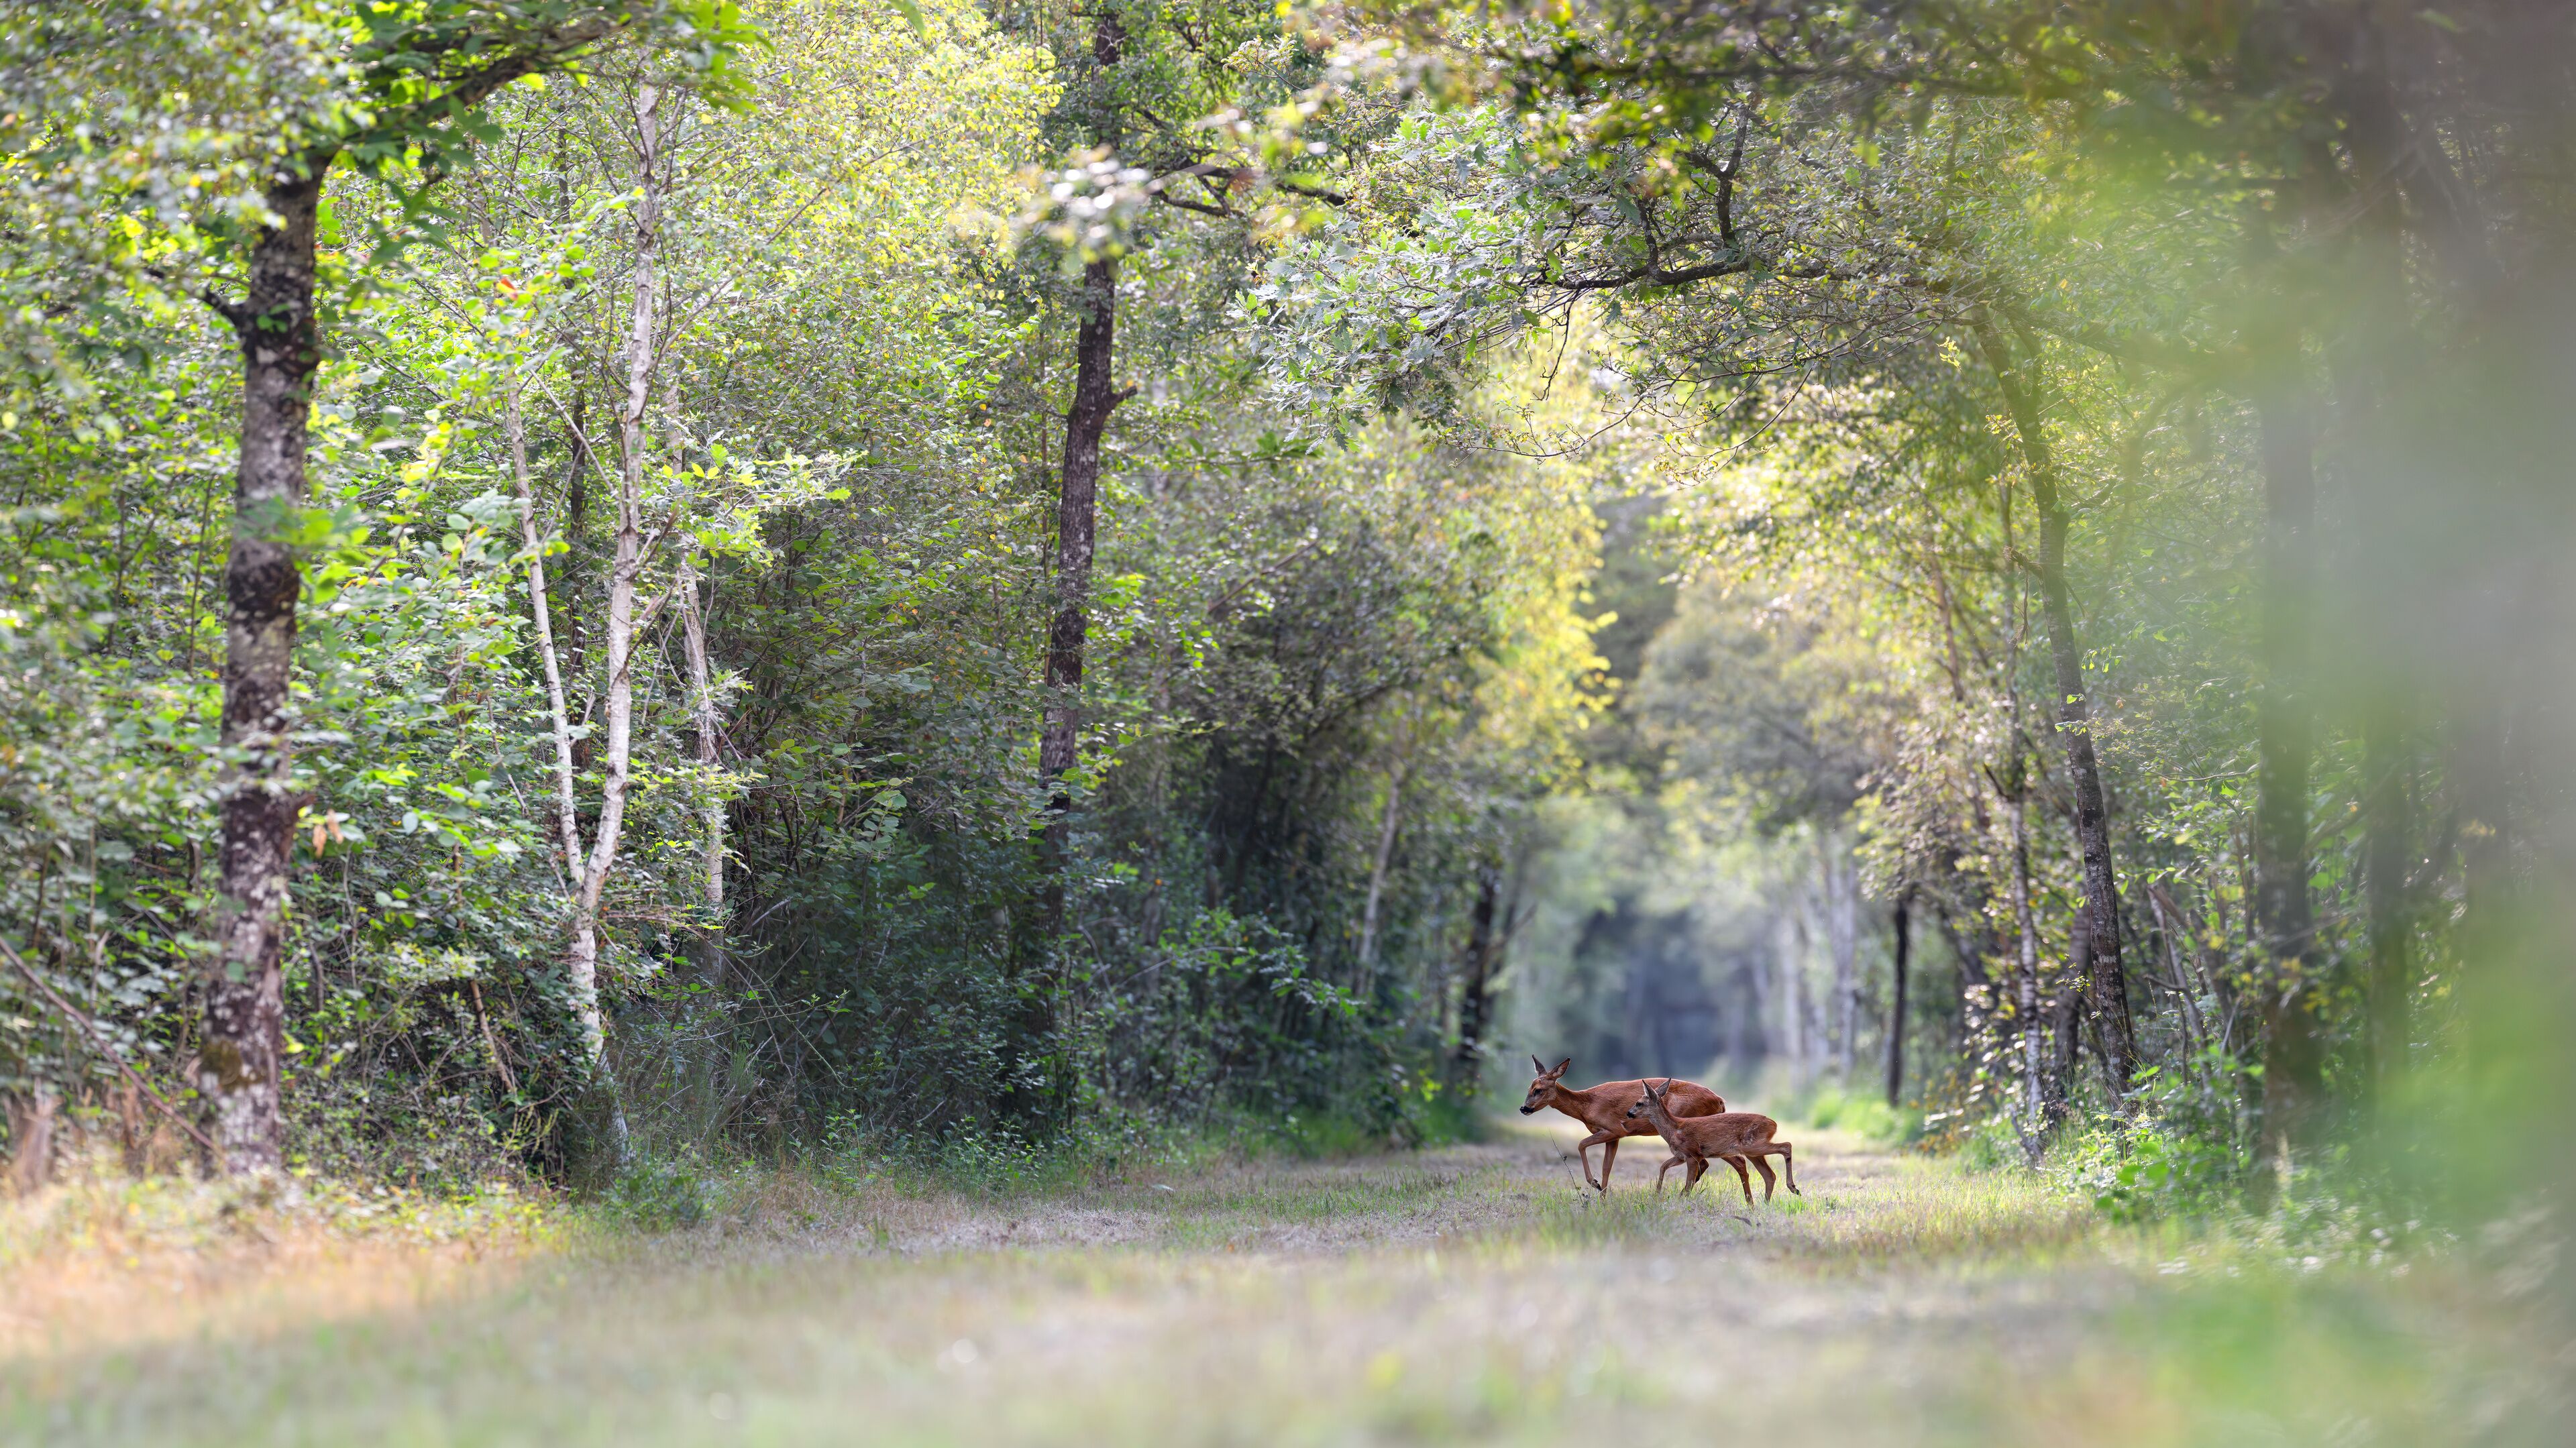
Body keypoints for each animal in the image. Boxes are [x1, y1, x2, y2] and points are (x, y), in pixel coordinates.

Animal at [1518, 1056, 1735, 1193]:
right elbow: (1607, 1168)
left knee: (1708, 1162)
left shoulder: (1614, 1129)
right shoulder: (1613, 1137)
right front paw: (1603, 1198)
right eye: (1528, 1088)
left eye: (1538, 1090)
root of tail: (1720, 1101)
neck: (1586, 1105)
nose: (1523, 1108)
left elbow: (1581, 1144)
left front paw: (1594, 1184)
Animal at [1625, 1076, 1800, 1207]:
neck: (1674, 1129)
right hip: (1753, 1151)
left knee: (1786, 1146)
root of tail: (1774, 1124)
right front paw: (1657, 1194)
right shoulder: (1680, 1156)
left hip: (1751, 1145)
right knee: (1770, 1174)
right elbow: (1663, 1166)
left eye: (1639, 1103)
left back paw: (1792, 1188)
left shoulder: (1693, 1154)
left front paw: (1680, 1200)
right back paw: (1764, 1205)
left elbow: (1689, 1183)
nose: (1628, 1113)